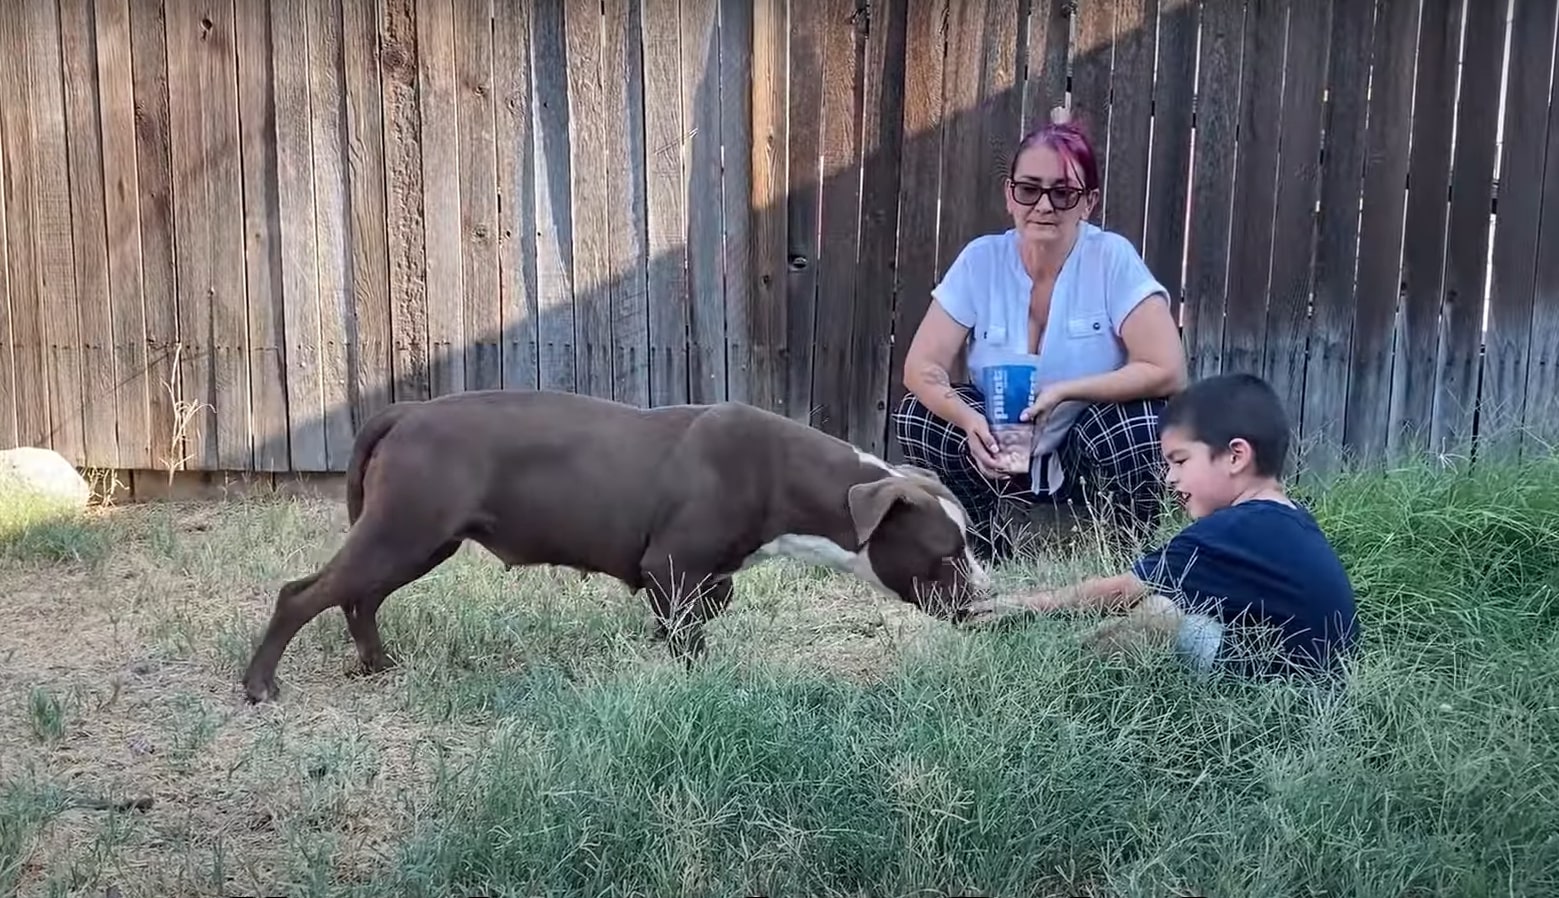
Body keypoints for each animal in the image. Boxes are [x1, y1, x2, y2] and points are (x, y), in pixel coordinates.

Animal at [240, 386, 997, 701]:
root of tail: (406, 411)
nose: (985, 605)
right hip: (405, 532)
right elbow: (689, 635)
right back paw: (260, 684)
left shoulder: (701, 575)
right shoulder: (672, 567)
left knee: (359, 598)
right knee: (302, 594)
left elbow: (704, 610)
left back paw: (376, 663)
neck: (787, 475)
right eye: (947, 555)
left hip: (418, 541)